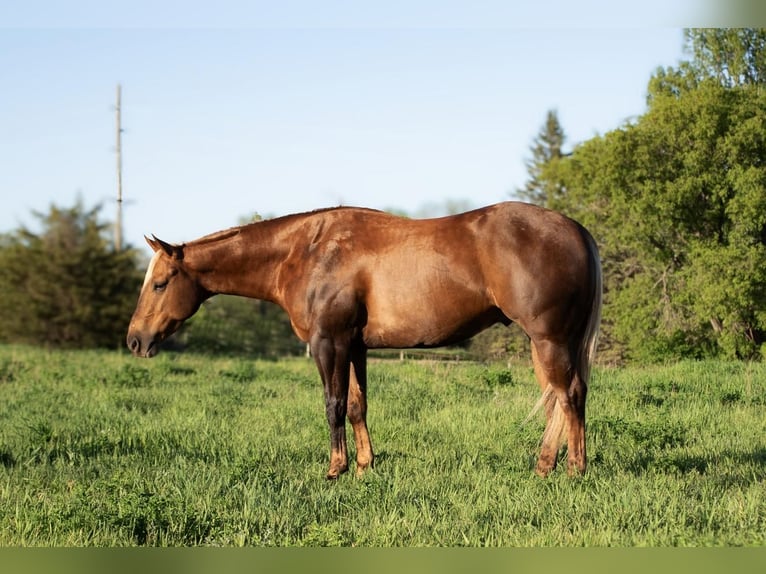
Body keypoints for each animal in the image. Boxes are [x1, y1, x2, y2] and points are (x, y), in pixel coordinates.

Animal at [127, 202, 608, 482]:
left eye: (160, 283)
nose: (134, 340)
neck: (306, 251)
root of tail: (576, 230)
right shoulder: (354, 346)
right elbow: (358, 405)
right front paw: (363, 466)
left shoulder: (329, 343)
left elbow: (334, 405)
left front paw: (335, 469)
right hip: (542, 343)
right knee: (557, 399)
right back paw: (545, 466)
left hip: (549, 339)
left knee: (570, 395)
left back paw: (574, 470)